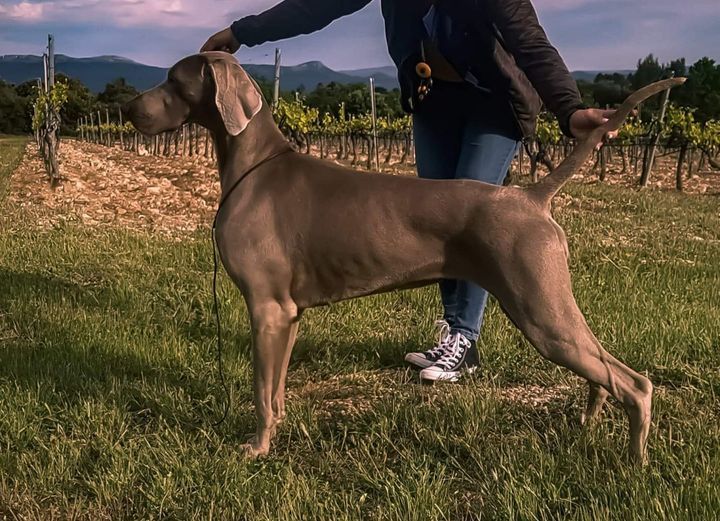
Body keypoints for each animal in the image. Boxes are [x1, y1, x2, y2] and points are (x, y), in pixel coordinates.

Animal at [124, 50, 688, 462]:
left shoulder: (266, 308)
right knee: (604, 370)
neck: (254, 165)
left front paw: (257, 449)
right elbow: (276, 387)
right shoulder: (287, 315)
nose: (129, 109)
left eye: (173, 79)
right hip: (549, 307)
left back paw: (635, 462)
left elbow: (261, 392)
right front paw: (276, 431)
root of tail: (531, 196)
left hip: (540, 310)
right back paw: (591, 420)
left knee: (635, 383)